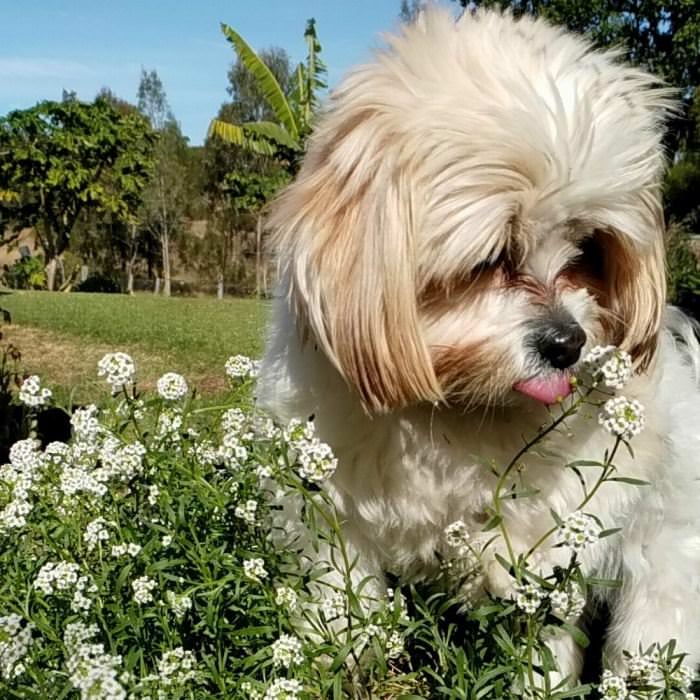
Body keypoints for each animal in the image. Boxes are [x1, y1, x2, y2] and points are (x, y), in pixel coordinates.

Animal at [258, 5, 700, 684]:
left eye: (588, 250)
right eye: (490, 258)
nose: (568, 342)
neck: (456, 404)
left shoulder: (542, 551)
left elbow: (541, 635)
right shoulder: (335, 522)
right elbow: (339, 606)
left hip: (664, 561)